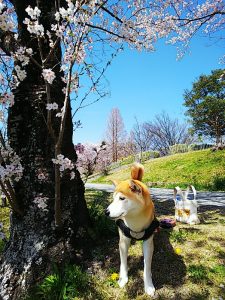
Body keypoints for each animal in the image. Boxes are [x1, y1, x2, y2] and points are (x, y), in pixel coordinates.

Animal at [105, 164, 159, 296]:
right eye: (113, 199)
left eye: (122, 198)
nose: (106, 212)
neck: (135, 222)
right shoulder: (123, 241)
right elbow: (123, 262)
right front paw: (123, 279)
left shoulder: (148, 242)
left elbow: (147, 266)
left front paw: (148, 285)